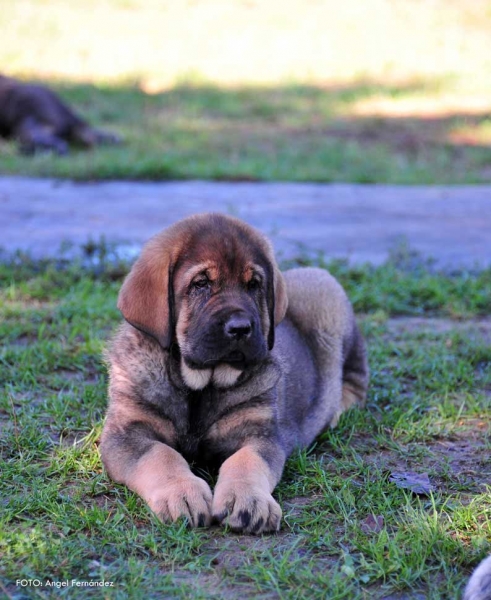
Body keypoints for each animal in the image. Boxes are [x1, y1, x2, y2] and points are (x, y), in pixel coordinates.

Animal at [101, 213, 368, 532]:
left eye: (254, 285)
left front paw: (248, 500)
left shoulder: (260, 434)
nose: (241, 328)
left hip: (329, 296)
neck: (200, 386)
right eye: (201, 283)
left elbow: (245, 461)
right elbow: (161, 455)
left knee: (354, 378)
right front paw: (182, 493)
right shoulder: (126, 434)